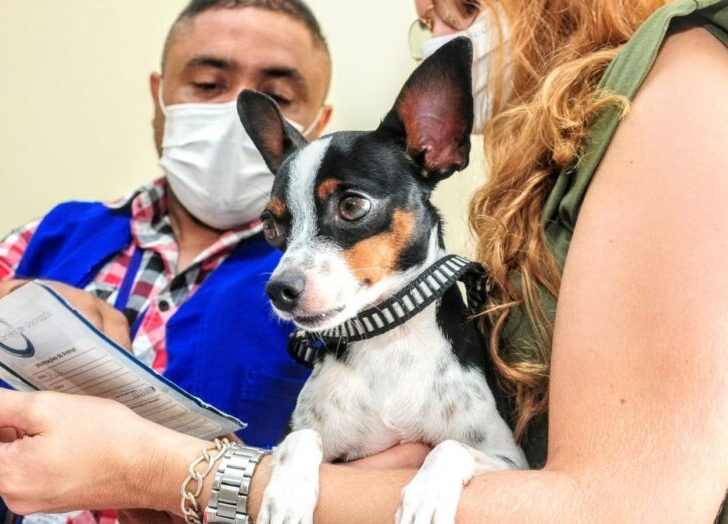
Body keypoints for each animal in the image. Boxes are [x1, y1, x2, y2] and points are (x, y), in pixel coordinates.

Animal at [240, 37, 528, 524]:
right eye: (271, 227)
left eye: (352, 206)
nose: (279, 290)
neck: (387, 341)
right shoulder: (301, 439)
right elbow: (300, 440)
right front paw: (286, 494)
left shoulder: (510, 460)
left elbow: (450, 447)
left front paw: (426, 497)